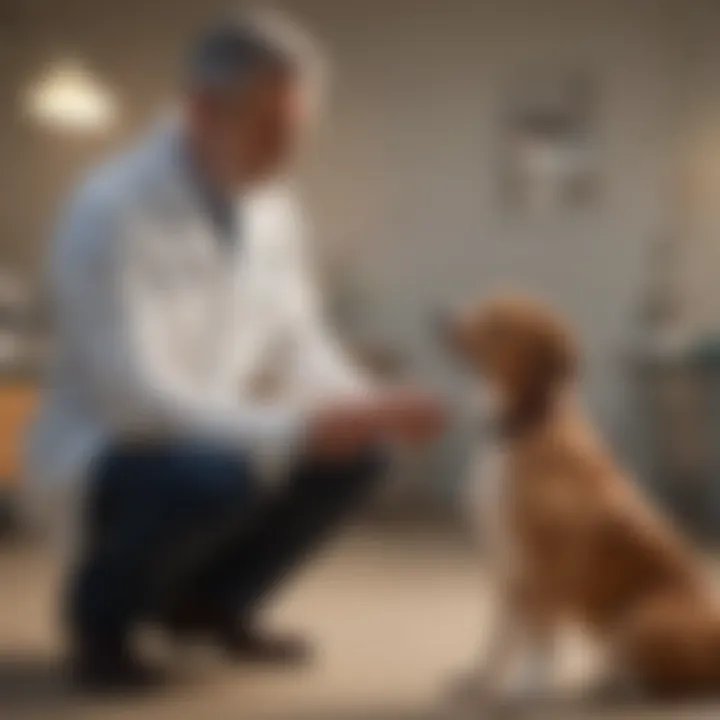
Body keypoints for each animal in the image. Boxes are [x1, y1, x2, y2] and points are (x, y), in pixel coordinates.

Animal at [438, 294, 720, 708]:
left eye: (498, 323)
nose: (437, 314)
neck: (527, 424)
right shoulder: (507, 565)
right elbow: (499, 639)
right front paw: (480, 681)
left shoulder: (547, 567)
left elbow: (540, 640)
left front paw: (527, 690)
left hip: (643, 618)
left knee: (671, 683)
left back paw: (620, 688)